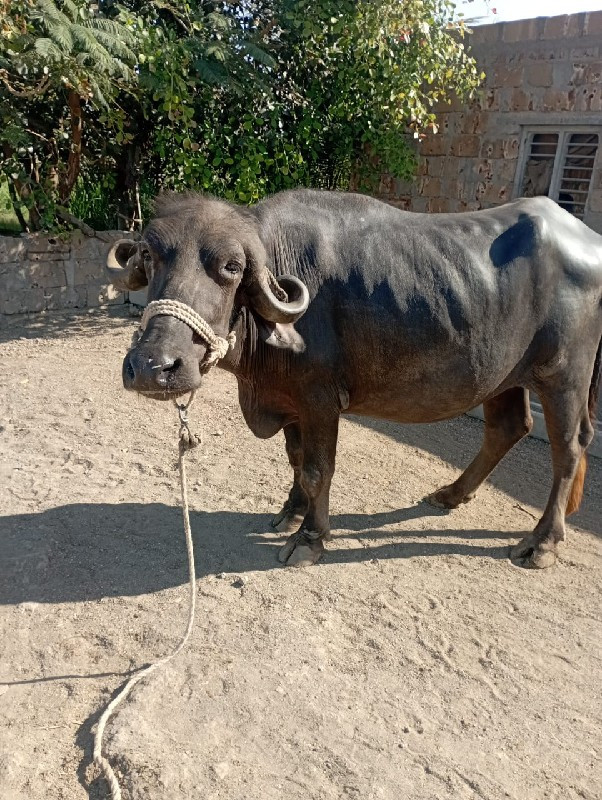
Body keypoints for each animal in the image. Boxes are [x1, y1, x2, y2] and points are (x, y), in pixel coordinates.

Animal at [105, 189, 596, 568]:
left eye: (230, 267)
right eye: (149, 254)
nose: (153, 366)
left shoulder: (320, 399)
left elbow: (318, 469)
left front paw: (309, 539)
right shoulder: (290, 400)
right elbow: (297, 461)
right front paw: (290, 512)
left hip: (563, 375)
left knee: (568, 449)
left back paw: (541, 543)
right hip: (502, 374)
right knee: (507, 428)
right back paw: (451, 494)